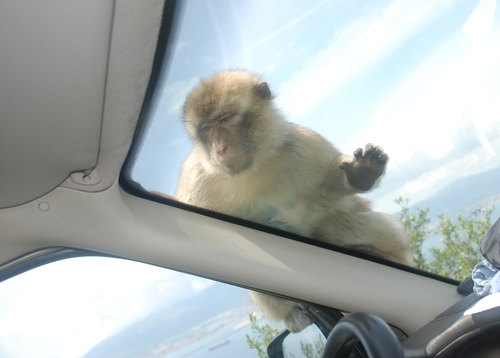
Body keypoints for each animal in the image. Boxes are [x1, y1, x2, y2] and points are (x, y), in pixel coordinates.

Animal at [176, 70, 414, 332]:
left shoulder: (302, 143)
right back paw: (293, 314)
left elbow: (327, 187)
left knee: (334, 220)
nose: (219, 149)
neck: (253, 167)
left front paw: (362, 174)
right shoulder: (196, 179)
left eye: (225, 118)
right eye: (205, 128)